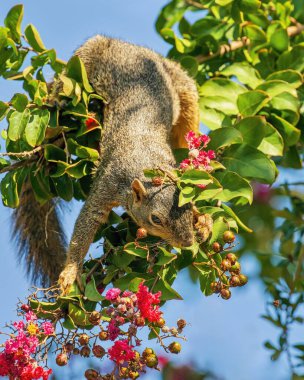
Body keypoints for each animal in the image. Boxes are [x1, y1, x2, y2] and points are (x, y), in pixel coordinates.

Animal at [13, 35, 201, 290]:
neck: (145, 162)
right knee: (59, 98)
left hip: (180, 83)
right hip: (79, 68)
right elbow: (88, 221)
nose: (187, 241)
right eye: (155, 219)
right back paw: (49, 129)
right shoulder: (108, 182)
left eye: (188, 205)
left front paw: (203, 220)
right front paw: (70, 272)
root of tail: (126, 45)